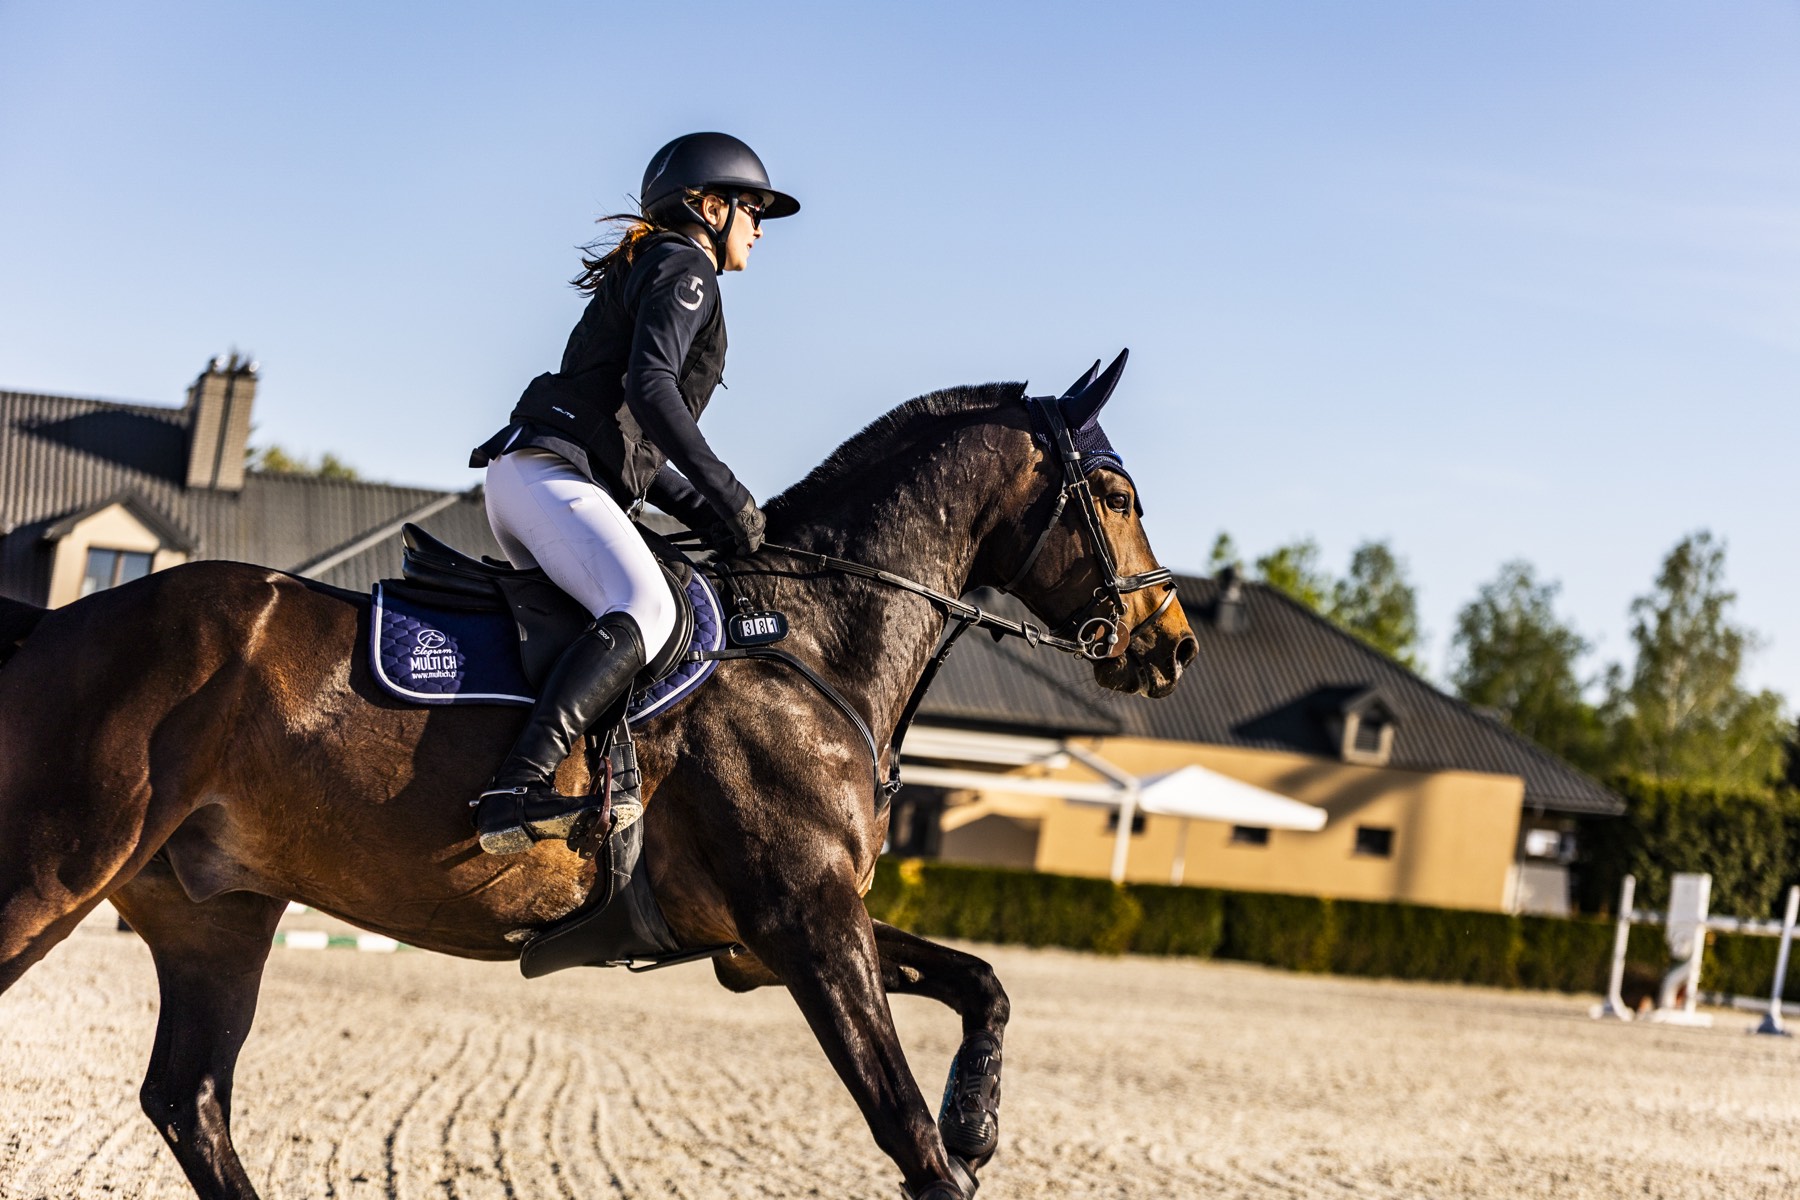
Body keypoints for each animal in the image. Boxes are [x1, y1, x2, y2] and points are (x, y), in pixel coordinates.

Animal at [0, 354, 1196, 1200]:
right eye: (1117, 492)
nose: (1171, 645)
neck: (808, 639)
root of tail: (57, 621)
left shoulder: (767, 939)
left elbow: (983, 985)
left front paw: (977, 1122)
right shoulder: (805, 923)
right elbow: (906, 1136)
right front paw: (954, 1136)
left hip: (217, 910)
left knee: (190, 1101)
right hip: (53, 876)